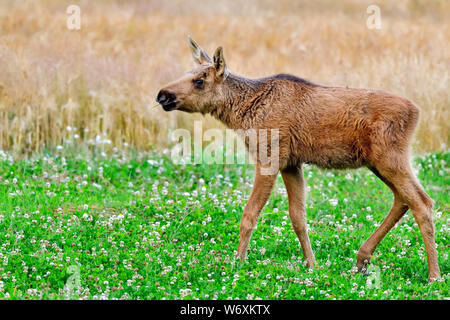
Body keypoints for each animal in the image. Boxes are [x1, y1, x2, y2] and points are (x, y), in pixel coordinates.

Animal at [156, 37, 442, 282]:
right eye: (187, 73)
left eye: (200, 80)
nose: (162, 95)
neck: (242, 114)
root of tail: (416, 111)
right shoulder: (291, 163)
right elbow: (298, 217)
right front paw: (312, 265)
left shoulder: (269, 157)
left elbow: (250, 214)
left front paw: (237, 262)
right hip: (378, 162)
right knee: (402, 199)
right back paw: (362, 259)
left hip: (390, 158)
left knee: (422, 202)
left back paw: (433, 275)